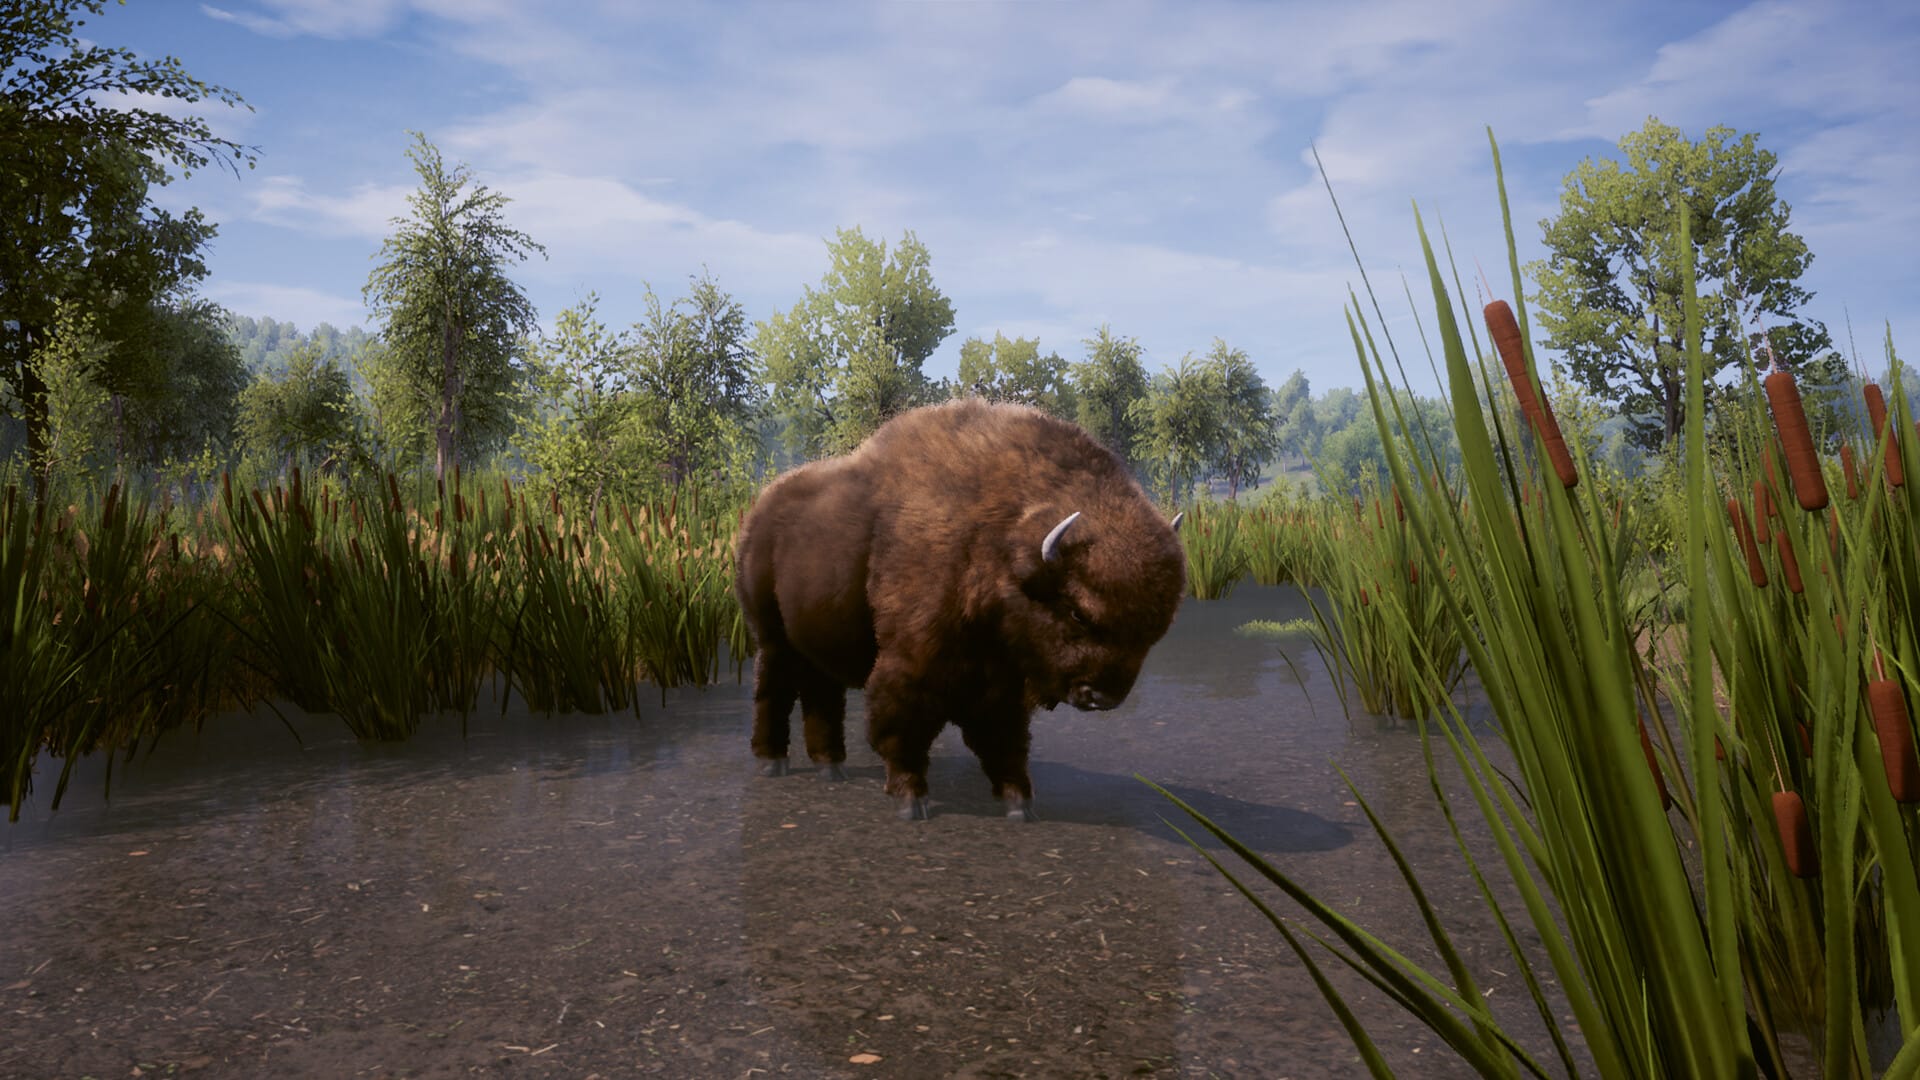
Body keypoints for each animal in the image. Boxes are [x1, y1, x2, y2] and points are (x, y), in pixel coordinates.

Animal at [733, 398, 1186, 821]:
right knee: (772, 690)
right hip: (772, 638)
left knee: (822, 694)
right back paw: (773, 761)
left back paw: (831, 767)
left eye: (1155, 628)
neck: (997, 538)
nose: (1102, 697)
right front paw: (911, 801)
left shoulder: (1001, 684)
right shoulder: (911, 666)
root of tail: (758, 513)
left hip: (816, 642)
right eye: (1077, 612)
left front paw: (1020, 803)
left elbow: (1003, 741)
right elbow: (900, 730)